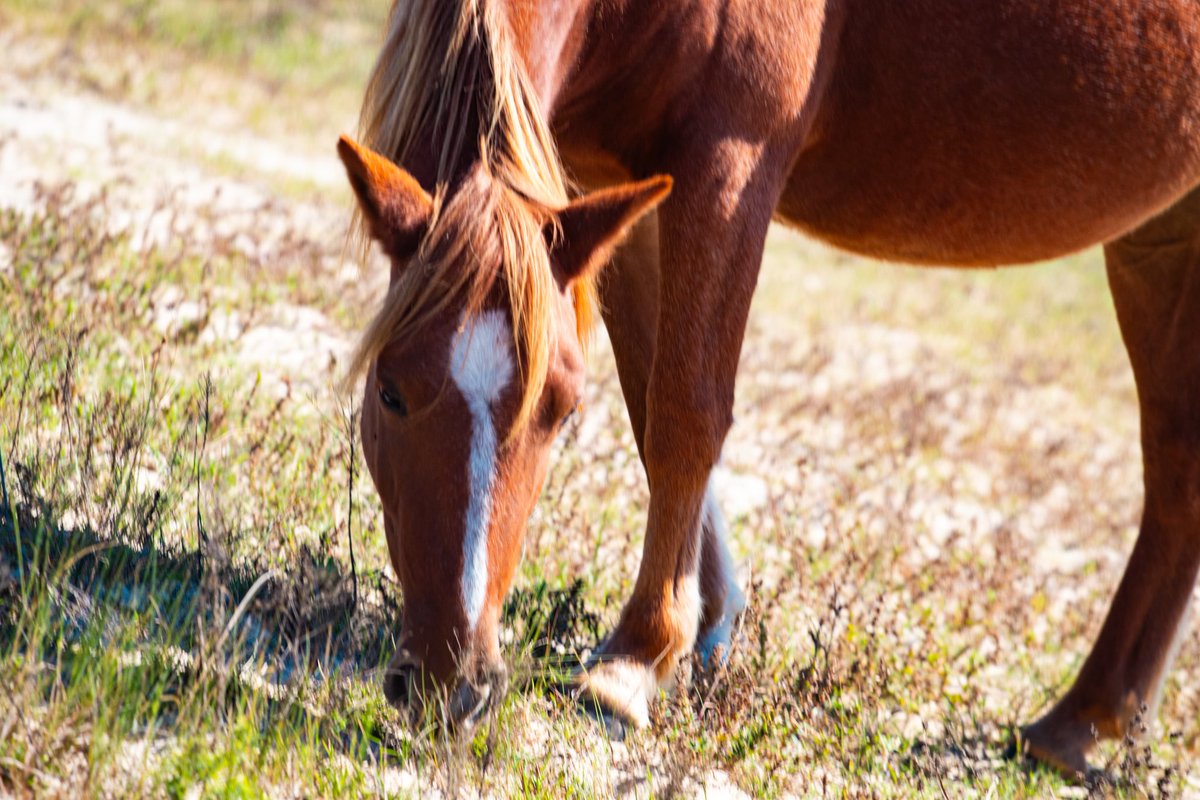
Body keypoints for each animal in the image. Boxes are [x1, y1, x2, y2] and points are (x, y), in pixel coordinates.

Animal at [338, 0, 1200, 777]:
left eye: (561, 412)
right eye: (390, 392)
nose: (456, 684)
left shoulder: (732, 162)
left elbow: (686, 411)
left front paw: (635, 661)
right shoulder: (610, 179)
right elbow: (649, 400)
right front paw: (707, 626)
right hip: (1161, 238)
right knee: (1176, 479)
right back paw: (1081, 725)